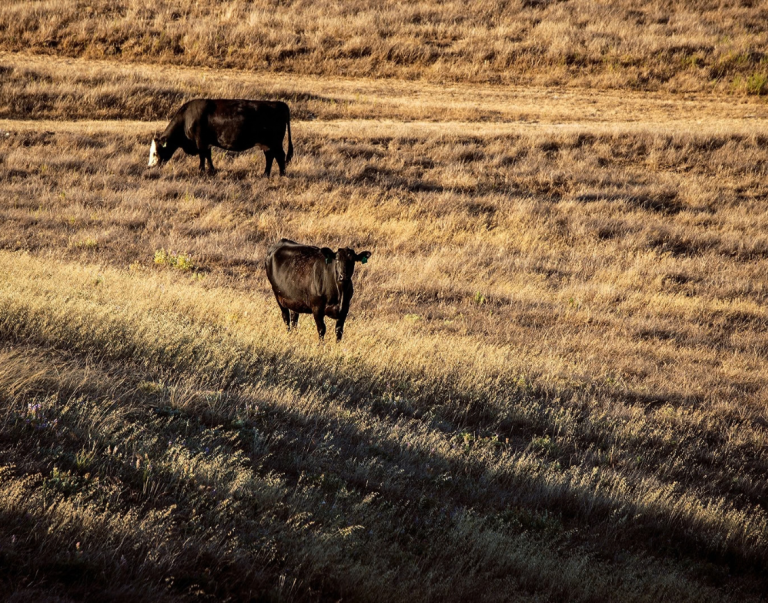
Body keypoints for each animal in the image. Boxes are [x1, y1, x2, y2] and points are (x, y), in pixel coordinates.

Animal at [147, 99, 293, 176]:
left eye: (155, 153)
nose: (149, 166)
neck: (187, 118)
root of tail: (279, 104)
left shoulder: (200, 141)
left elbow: (203, 156)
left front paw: (202, 170)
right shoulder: (206, 143)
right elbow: (208, 156)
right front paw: (211, 170)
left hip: (275, 143)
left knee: (280, 156)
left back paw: (282, 174)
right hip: (266, 144)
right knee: (270, 157)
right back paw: (265, 174)